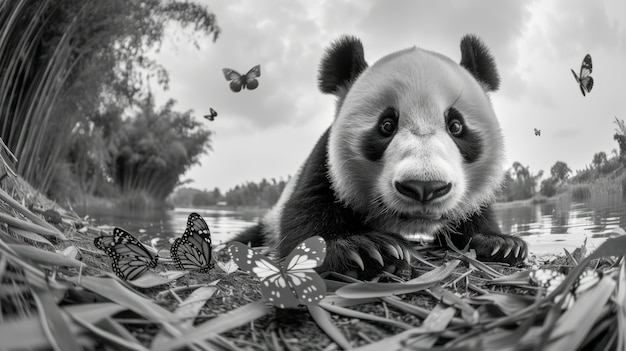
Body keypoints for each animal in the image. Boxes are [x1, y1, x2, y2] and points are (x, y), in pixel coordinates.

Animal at [234, 34, 528, 280]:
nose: (424, 187)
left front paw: (501, 244)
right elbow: (304, 215)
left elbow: (476, 216)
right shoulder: (325, 163)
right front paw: (367, 250)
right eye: (386, 125)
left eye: (456, 126)